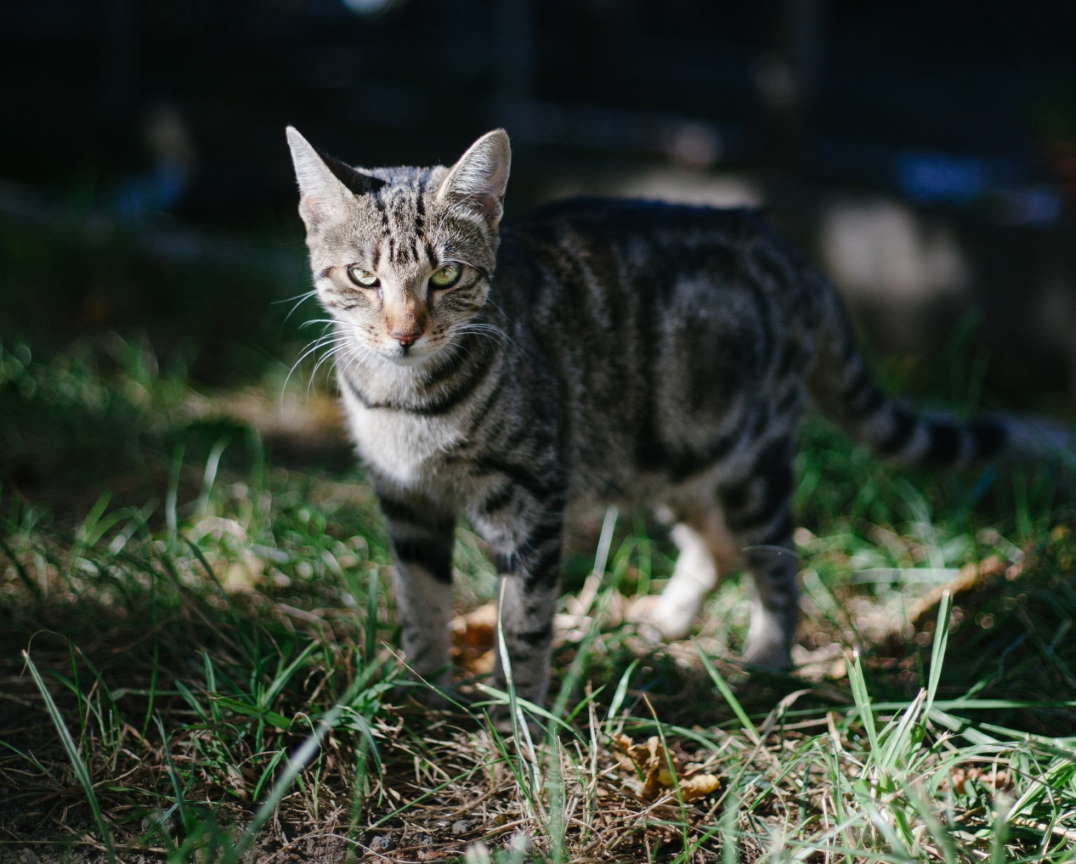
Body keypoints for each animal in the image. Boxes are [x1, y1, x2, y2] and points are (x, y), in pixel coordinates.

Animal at [284, 128, 1067, 710]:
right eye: (363, 278)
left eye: (445, 276)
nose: (404, 333)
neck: (404, 399)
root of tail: (787, 247)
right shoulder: (406, 499)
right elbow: (419, 600)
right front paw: (421, 693)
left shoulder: (532, 499)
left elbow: (523, 621)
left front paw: (519, 718)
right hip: (674, 451)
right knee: (716, 548)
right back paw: (666, 619)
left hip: (749, 460)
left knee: (779, 561)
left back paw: (766, 662)